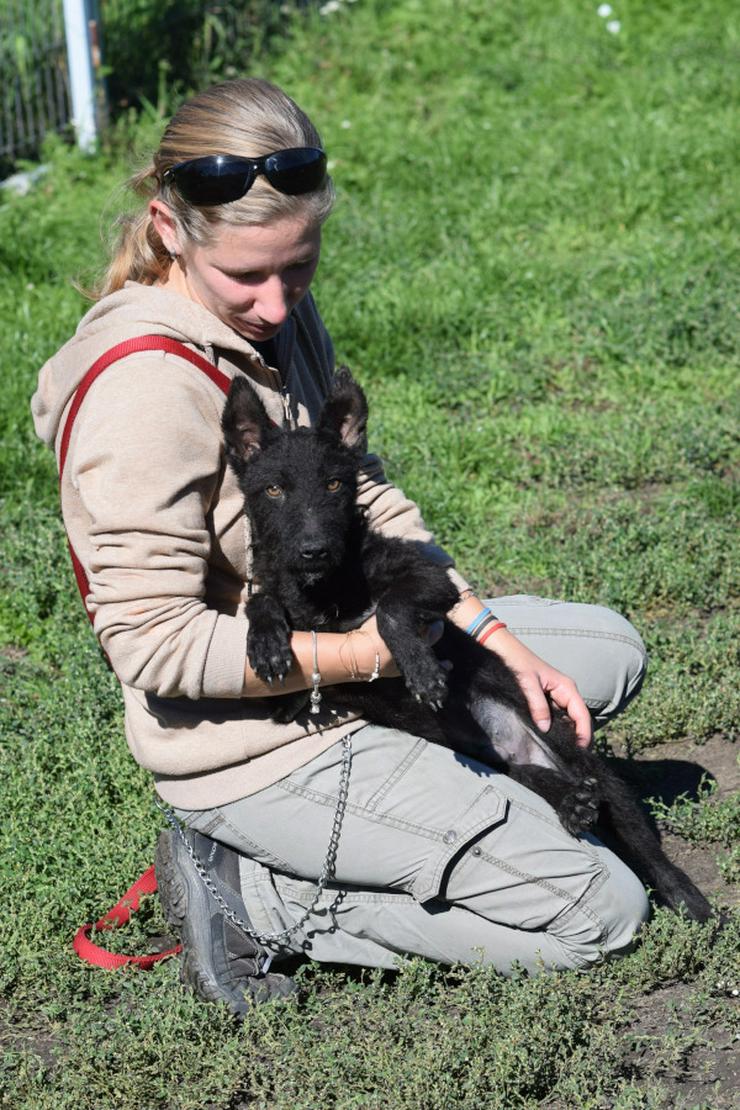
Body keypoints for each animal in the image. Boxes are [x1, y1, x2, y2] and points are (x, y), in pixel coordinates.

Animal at [222, 368, 714, 923]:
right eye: (273, 490)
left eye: (334, 484)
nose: (313, 551)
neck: (322, 588)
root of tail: (524, 744)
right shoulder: (286, 631)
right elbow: (262, 601)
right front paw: (266, 644)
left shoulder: (431, 583)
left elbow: (392, 610)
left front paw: (421, 670)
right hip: (513, 768)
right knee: (544, 781)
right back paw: (573, 804)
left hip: (578, 750)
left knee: (642, 840)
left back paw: (691, 902)